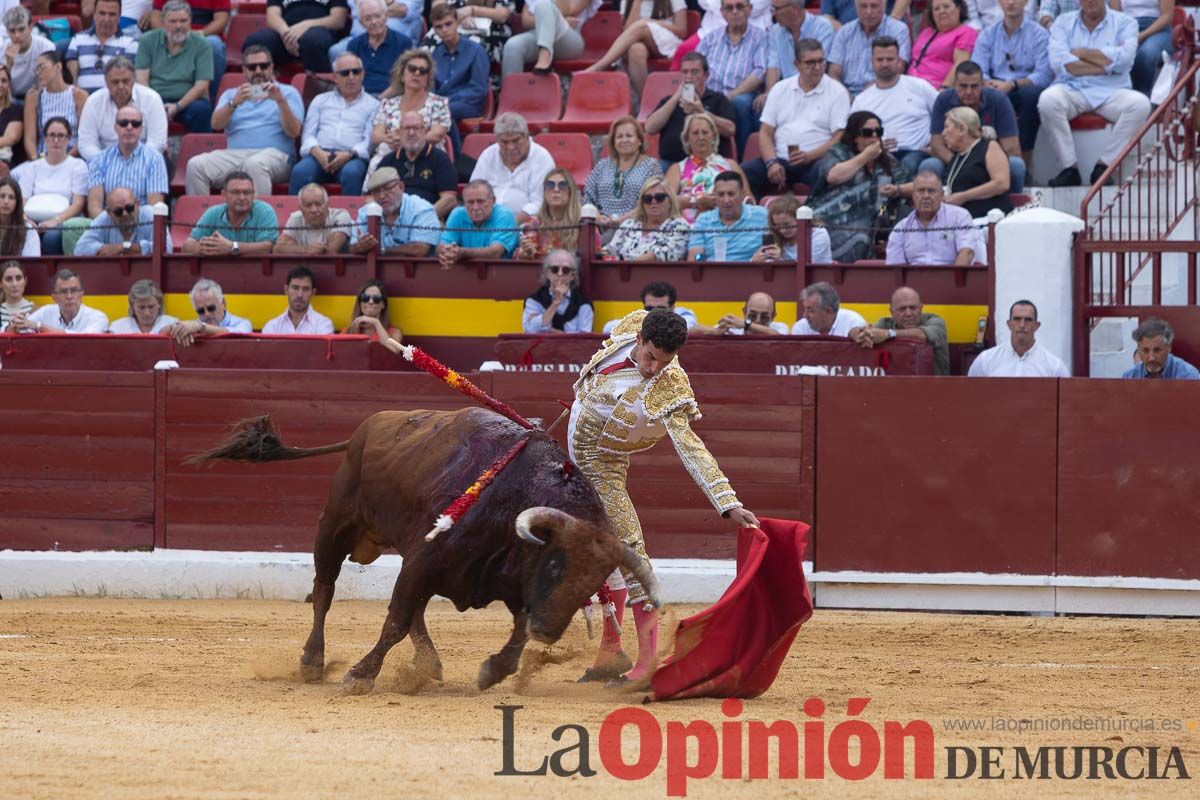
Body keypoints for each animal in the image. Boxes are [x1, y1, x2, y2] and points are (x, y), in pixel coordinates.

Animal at [192, 407, 662, 695]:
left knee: (413, 610)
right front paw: (359, 675)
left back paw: (428, 663)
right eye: (553, 566)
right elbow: (395, 621)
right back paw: (313, 660)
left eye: (593, 585)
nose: (549, 631)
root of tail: (362, 431)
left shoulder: (496, 579)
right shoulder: (425, 560)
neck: (512, 499)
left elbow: (514, 634)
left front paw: (492, 671)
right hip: (335, 526)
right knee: (324, 589)